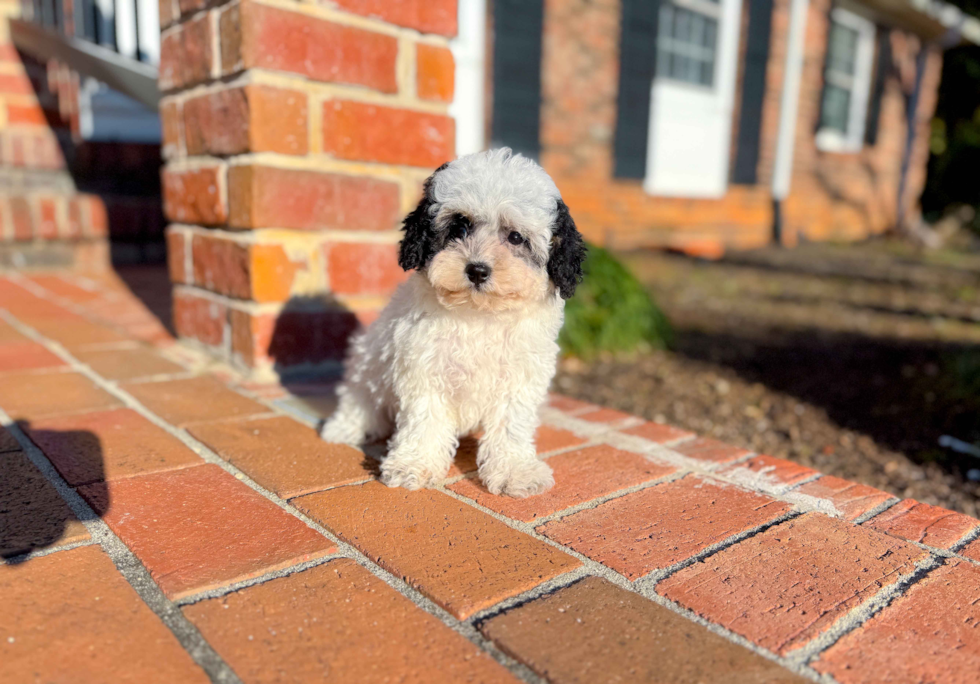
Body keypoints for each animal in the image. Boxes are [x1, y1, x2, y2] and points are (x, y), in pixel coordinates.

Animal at [320, 150, 580, 496]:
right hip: (367, 364)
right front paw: (412, 464)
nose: (477, 270)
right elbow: (425, 419)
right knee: (360, 397)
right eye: (460, 228)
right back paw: (344, 427)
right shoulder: (423, 368)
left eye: (515, 237)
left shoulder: (519, 377)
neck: (479, 313)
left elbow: (511, 425)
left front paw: (515, 471)